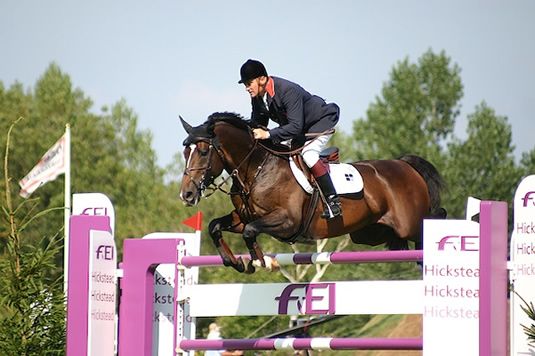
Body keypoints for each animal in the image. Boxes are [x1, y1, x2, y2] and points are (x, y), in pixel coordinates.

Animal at [180, 112, 448, 274]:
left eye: (203, 151)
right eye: (185, 153)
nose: (187, 195)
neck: (256, 169)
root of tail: (404, 164)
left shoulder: (286, 221)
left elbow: (250, 231)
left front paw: (261, 260)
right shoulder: (242, 216)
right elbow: (215, 226)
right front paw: (236, 262)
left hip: (409, 224)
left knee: (435, 220)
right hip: (370, 233)